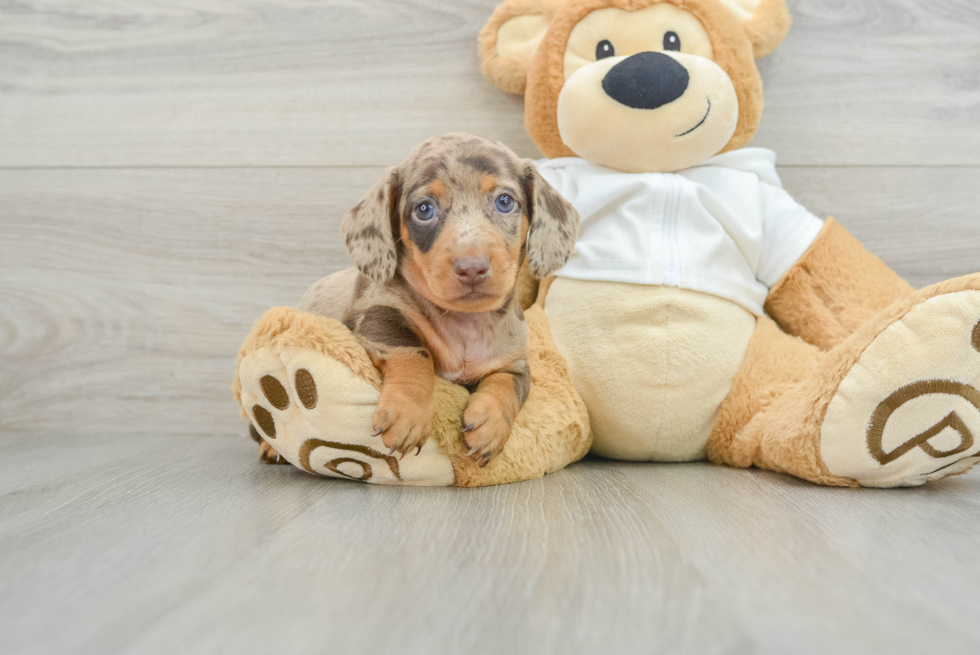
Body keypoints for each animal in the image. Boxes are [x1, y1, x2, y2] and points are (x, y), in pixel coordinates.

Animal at [340, 133, 580, 466]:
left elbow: (508, 384)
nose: (472, 268)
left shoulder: (516, 363)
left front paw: (492, 423)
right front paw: (408, 413)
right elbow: (415, 352)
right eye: (424, 209)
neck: (466, 325)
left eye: (505, 201)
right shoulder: (376, 313)